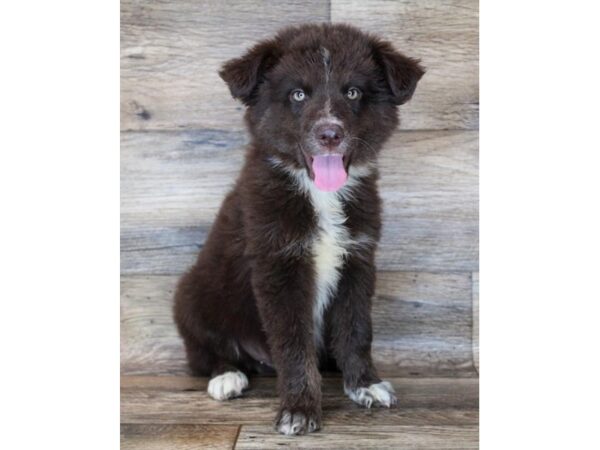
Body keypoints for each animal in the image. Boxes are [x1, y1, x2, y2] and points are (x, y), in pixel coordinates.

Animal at [176, 22, 424, 434]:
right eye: (297, 94)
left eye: (353, 92)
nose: (329, 134)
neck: (320, 194)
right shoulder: (279, 267)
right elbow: (293, 343)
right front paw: (300, 409)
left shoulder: (357, 260)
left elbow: (357, 329)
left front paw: (364, 384)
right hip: (192, 294)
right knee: (202, 353)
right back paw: (226, 376)